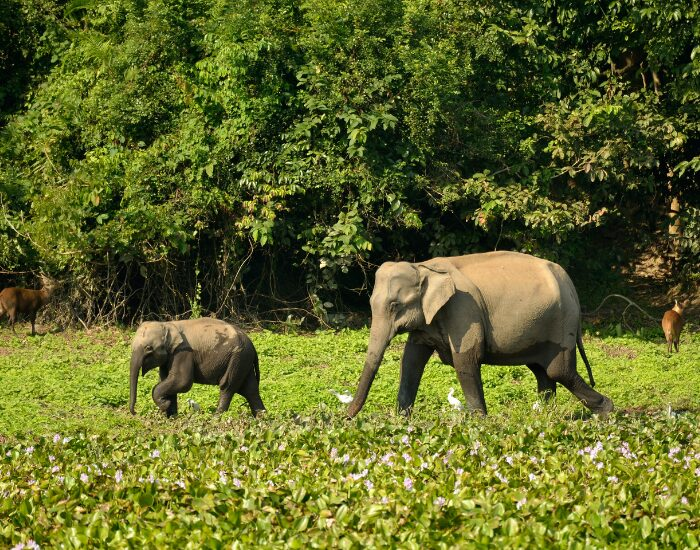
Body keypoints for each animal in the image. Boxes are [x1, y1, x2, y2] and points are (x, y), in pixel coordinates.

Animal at [129, 318, 266, 418]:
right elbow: (167, 380)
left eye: (148, 348)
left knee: (227, 386)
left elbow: (182, 382)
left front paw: (165, 406)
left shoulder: (183, 352)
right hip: (243, 361)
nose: (135, 413)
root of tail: (252, 345)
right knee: (250, 390)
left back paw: (216, 419)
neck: (168, 325)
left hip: (237, 358)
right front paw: (171, 417)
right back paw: (261, 420)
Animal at [347, 251, 613, 418]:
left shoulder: (464, 310)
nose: (345, 419)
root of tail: (569, 282)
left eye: (394, 305)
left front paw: (480, 423)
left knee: (559, 370)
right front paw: (402, 421)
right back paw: (543, 416)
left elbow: (465, 362)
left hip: (561, 323)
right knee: (543, 372)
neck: (424, 267)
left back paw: (607, 412)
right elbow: (411, 360)